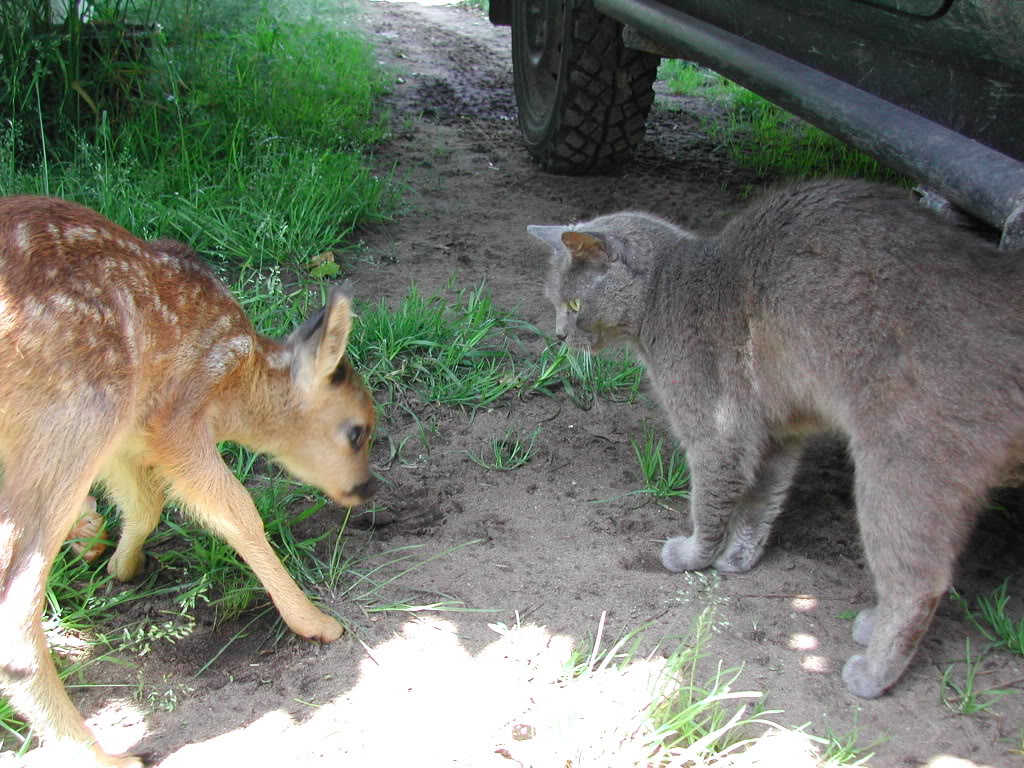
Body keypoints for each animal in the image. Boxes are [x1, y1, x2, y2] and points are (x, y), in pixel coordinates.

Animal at [0, 196, 378, 765]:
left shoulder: (130, 433)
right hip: (75, 415)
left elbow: (144, 502)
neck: (235, 391)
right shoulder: (173, 419)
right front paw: (313, 622)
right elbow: (235, 510)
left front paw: (116, 561)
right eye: (358, 430)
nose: (368, 487)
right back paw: (105, 754)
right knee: (18, 603)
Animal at [528, 179, 1024, 696]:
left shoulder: (718, 430)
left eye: (573, 305)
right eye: (556, 302)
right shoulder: (777, 434)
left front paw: (693, 555)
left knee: (919, 582)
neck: (663, 293)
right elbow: (759, 502)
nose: (558, 337)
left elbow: (710, 500)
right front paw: (737, 559)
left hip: (901, 463)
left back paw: (871, 672)